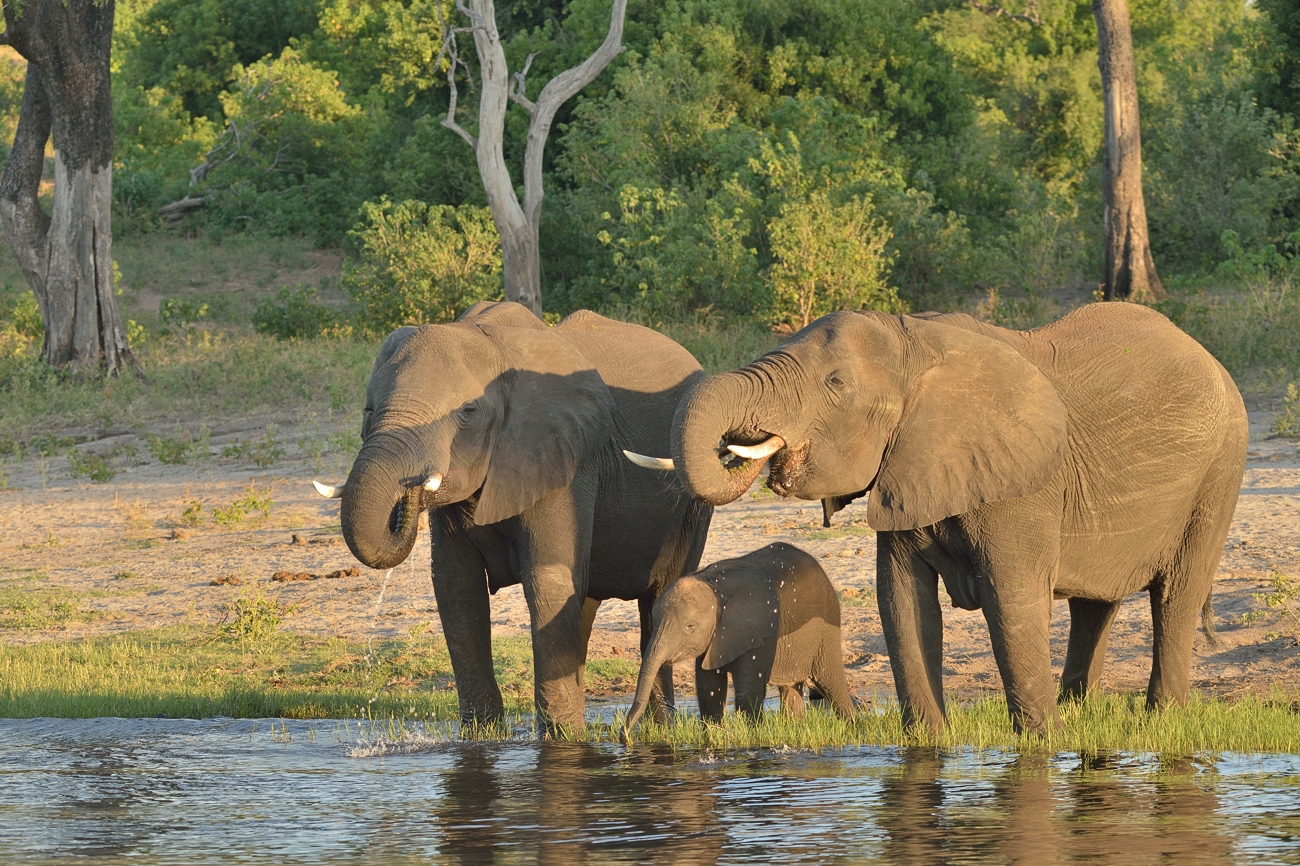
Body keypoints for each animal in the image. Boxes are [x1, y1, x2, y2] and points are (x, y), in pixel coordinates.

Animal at [315, 300, 717, 733]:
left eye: (467, 411)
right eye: (369, 410)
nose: (410, 492)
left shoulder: (567, 459)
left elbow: (548, 580)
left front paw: (561, 738)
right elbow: (457, 587)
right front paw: (482, 734)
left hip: (694, 496)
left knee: (659, 598)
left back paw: (660, 729)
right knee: (585, 602)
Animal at [621, 540, 852, 733]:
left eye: (690, 627)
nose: (625, 737)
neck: (714, 585)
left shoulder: (762, 627)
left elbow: (748, 690)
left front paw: (754, 737)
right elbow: (708, 687)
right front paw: (714, 737)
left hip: (827, 625)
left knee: (831, 681)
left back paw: (853, 725)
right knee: (791, 688)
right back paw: (794, 729)